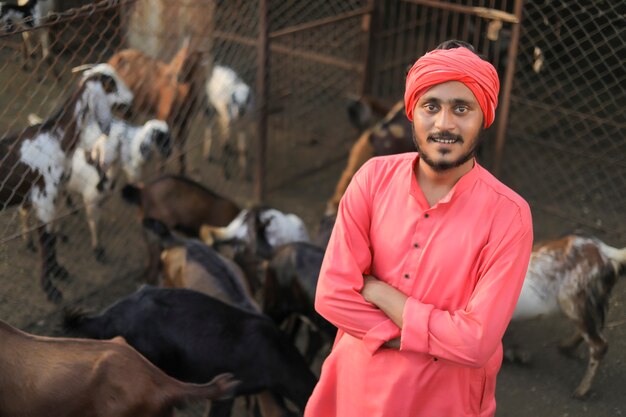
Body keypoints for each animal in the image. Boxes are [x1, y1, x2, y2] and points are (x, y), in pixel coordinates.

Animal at [0, 61, 132, 302]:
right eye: (110, 84)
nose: (131, 102)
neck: (55, 138)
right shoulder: (44, 198)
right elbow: (46, 241)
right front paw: (50, 289)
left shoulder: (56, 195)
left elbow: (52, 237)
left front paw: (59, 271)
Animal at [106, 39, 205, 174]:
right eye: (178, 56)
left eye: (191, 60)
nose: (177, 76)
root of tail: (115, 58)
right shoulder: (163, 117)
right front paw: (161, 173)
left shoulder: (184, 121)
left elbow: (182, 149)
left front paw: (182, 172)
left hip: (128, 109)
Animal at [508, 232, 624, 398]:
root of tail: (606, 252)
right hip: (594, 300)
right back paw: (565, 346)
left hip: (571, 301)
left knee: (599, 345)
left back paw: (581, 391)